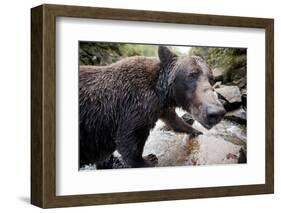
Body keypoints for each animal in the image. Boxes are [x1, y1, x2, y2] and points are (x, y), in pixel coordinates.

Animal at [79, 45, 225, 169]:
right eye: (192, 74)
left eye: (211, 78)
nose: (216, 112)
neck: (161, 92)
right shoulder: (133, 107)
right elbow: (129, 141)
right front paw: (149, 159)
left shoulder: (161, 108)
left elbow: (175, 121)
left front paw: (196, 131)